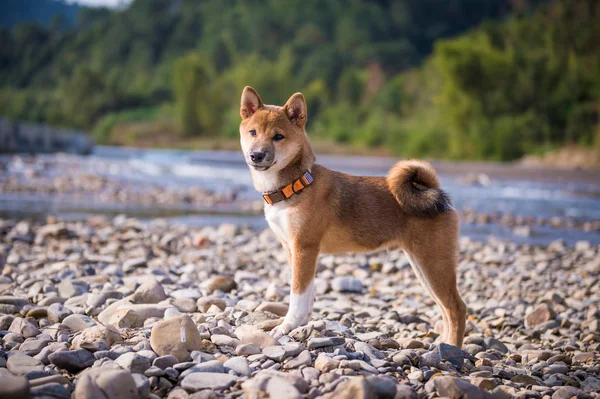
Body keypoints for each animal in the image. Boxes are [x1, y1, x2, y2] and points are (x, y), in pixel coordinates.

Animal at [239, 86, 468, 346]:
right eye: (253, 132)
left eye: (278, 137)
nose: (256, 155)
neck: (296, 185)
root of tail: (435, 192)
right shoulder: (293, 250)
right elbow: (307, 295)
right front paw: (299, 323)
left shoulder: (304, 248)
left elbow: (297, 294)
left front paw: (287, 326)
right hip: (423, 267)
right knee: (445, 309)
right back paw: (443, 345)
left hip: (434, 265)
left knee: (457, 309)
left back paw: (453, 349)